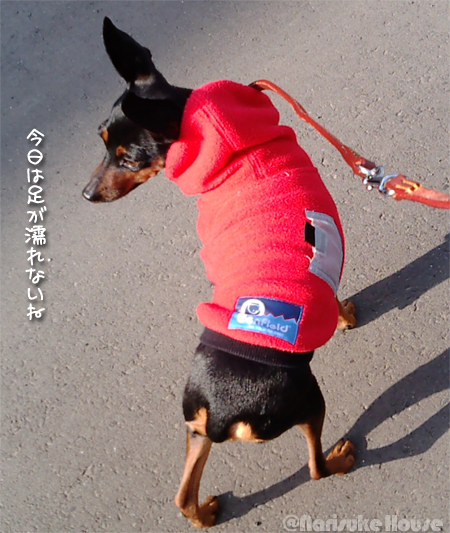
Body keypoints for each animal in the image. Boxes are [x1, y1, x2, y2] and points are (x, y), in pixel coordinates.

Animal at [83, 18, 357, 528]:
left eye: (126, 158)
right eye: (104, 147)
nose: (86, 194)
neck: (227, 149)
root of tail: (219, 412)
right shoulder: (325, 242)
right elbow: (334, 295)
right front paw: (346, 316)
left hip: (196, 431)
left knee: (182, 497)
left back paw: (205, 513)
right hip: (307, 400)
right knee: (314, 468)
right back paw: (340, 459)